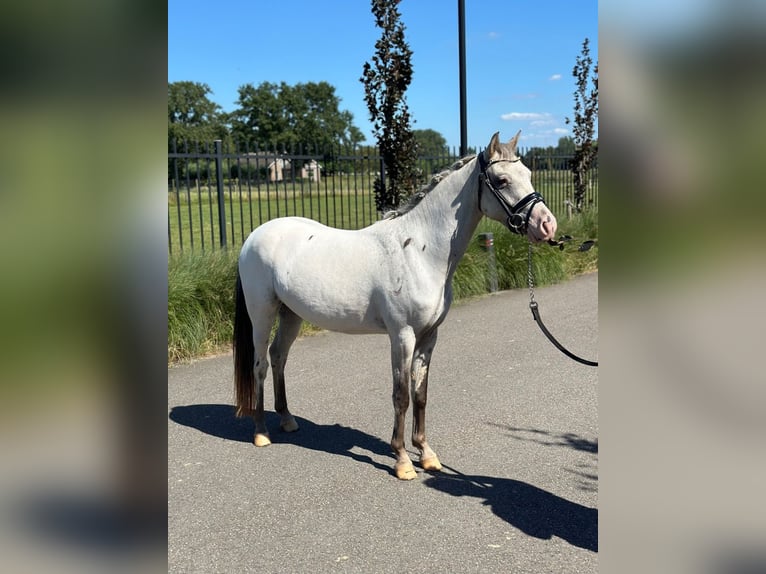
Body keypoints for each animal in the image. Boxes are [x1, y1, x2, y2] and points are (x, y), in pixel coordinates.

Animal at [234, 132, 560, 482]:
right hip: (262, 313)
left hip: (291, 314)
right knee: (259, 365)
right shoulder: (402, 336)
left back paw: (287, 419)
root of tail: (254, 236)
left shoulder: (429, 337)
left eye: (528, 174)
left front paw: (427, 454)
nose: (547, 225)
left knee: (278, 356)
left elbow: (420, 393)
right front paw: (402, 460)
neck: (418, 250)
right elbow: (401, 396)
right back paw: (261, 432)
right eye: (501, 180)